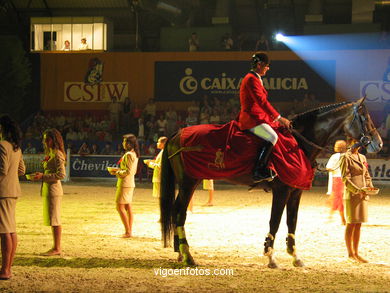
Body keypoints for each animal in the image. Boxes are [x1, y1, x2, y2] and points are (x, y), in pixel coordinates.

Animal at [158, 97, 380, 266]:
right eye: (365, 118)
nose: (379, 144)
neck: (298, 143)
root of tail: (178, 133)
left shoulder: (295, 192)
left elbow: (292, 222)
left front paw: (294, 256)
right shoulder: (281, 191)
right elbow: (275, 221)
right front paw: (270, 256)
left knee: (177, 211)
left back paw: (180, 252)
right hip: (188, 182)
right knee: (180, 213)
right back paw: (188, 255)